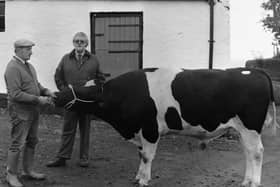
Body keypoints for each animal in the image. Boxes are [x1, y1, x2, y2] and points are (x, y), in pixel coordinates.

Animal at [52, 67, 278, 187]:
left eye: (85, 91)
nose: (56, 95)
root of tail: (252, 70)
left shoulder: (150, 128)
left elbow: (146, 156)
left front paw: (143, 180)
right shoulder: (140, 131)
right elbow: (140, 154)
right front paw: (139, 176)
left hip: (250, 127)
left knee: (257, 152)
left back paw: (255, 182)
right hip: (241, 130)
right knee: (248, 153)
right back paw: (246, 181)